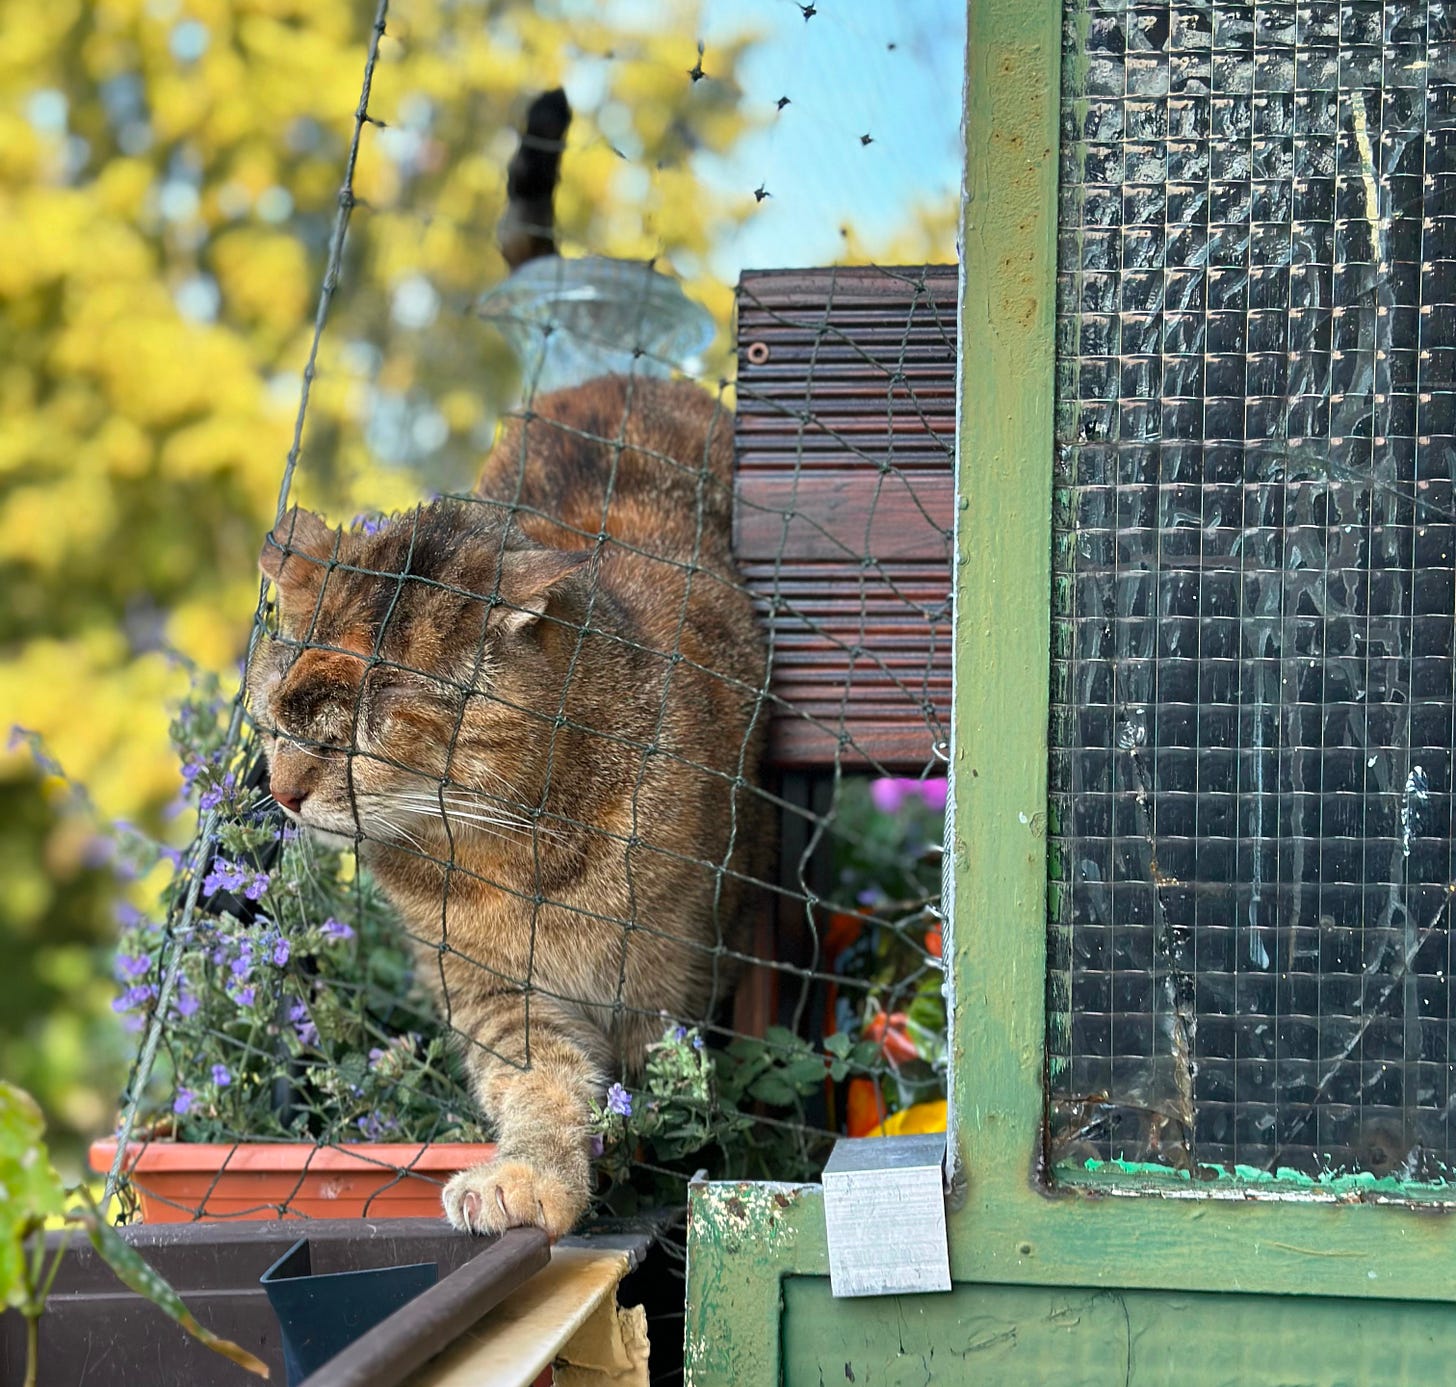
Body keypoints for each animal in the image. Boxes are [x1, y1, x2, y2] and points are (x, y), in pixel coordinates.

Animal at [244, 372, 768, 1240]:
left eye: (357, 730)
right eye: (272, 716)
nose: (282, 791)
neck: (518, 850)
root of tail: (617, 378)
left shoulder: (668, 986)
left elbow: (654, 1097)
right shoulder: (490, 991)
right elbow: (539, 1081)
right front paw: (530, 1175)